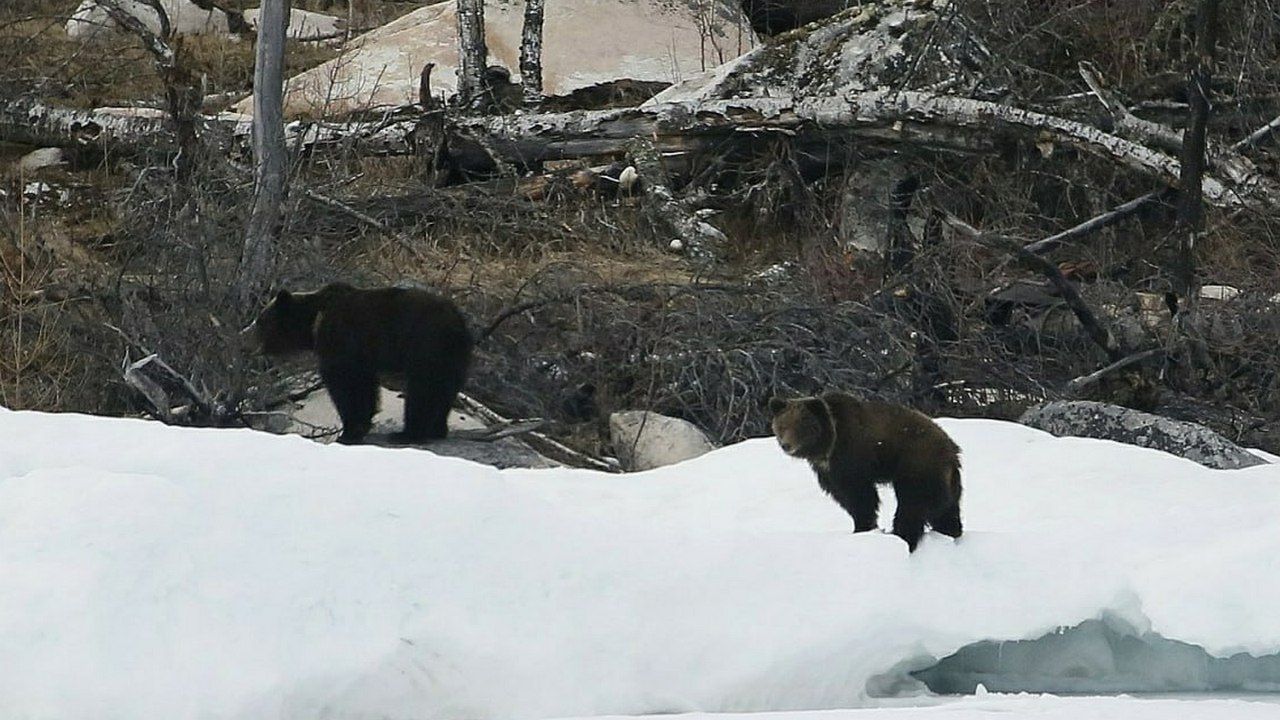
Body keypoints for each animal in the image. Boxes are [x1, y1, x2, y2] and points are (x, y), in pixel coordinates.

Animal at [247, 281, 473, 443]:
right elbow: (366, 386)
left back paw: (407, 433)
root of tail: (457, 323)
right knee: (445, 389)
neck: (314, 323)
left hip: (425, 346)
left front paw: (348, 431)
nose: (249, 342)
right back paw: (437, 429)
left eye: (261, 321)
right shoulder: (363, 357)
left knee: (423, 390)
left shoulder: (341, 342)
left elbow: (346, 386)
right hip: (454, 357)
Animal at [768, 392, 962, 548]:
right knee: (946, 508)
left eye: (801, 425)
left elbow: (860, 496)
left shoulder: (851, 456)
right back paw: (951, 532)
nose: (786, 445)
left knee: (913, 503)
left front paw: (863, 527)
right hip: (946, 477)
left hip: (917, 465)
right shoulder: (828, 472)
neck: (828, 446)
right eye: (782, 425)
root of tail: (951, 449)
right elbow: (843, 496)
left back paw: (902, 535)